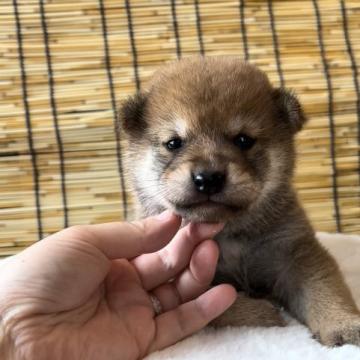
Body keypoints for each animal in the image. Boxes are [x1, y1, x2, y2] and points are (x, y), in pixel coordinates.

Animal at [119, 55, 360, 346]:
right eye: (174, 142)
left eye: (243, 140)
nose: (208, 178)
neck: (229, 235)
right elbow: (221, 304)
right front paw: (264, 315)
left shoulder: (295, 253)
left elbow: (323, 289)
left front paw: (343, 324)